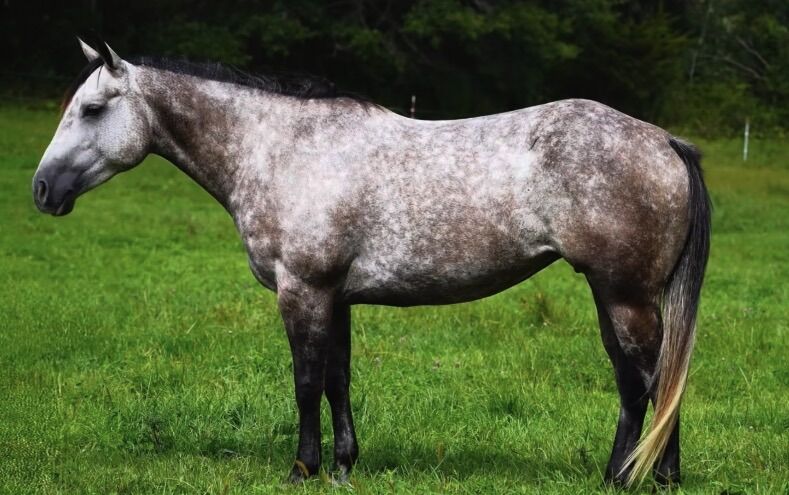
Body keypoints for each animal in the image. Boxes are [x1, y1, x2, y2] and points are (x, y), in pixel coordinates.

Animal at [32, 38, 710, 487]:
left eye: (92, 110)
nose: (42, 190)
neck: (283, 150)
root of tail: (663, 140)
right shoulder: (335, 296)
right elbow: (338, 379)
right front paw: (341, 465)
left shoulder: (303, 291)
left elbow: (306, 381)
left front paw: (302, 468)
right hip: (614, 295)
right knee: (645, 382)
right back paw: (638, 475)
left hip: (623, 295)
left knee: (648, 381)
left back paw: (639, 478)